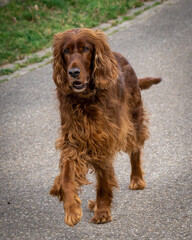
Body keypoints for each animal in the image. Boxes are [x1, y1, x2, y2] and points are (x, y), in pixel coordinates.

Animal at [50, 28, 161, 227]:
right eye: (66, 51)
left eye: (86, 48)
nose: (73, 72)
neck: (86, 99)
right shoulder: (74, 139)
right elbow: (67, 175)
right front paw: (71, 208)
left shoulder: (104, 139)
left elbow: (103, 180)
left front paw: (102, 211)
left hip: (133, 118)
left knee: (135, 149)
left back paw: (137, 179)